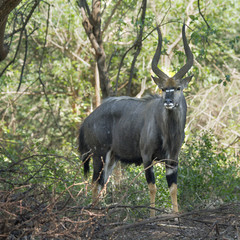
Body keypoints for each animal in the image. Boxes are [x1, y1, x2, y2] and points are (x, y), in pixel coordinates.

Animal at [79, 23, 193, 217]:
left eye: (178, 88)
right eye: (163, 89)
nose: (168, 102)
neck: (167, 132)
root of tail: (87, 120)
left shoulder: (172, 160)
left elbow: (173, 188)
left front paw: (176, 217)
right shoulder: (147, 157)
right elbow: (153, 187)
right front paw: (152, 217)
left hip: (111, 159)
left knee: (101, 185)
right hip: (99, 155)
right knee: (95, 184)